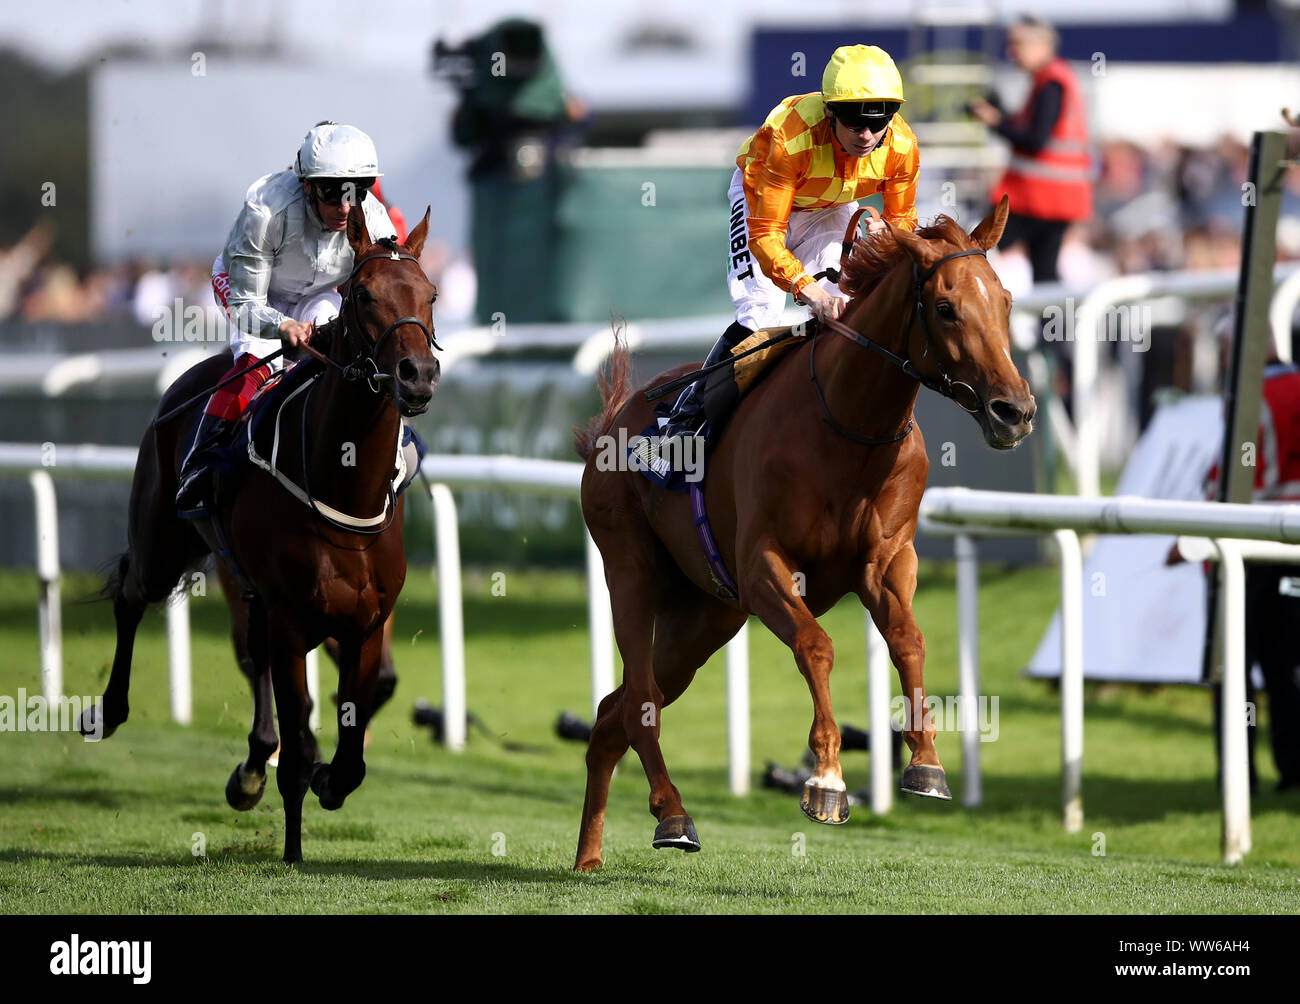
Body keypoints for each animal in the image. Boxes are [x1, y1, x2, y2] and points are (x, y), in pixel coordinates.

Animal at [81, 205, 439, 863]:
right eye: (364, 294)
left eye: (429, 294)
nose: (417, 374)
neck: (341, 484)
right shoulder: (293, 618)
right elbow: (297, 747)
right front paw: (293, 849)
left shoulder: (366, 621)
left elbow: (351, 750)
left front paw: (327, 775)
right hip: (165, 547)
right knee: (131, 594)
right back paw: (110, 711)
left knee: (252, 656)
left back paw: (252, 765)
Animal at [574, 196, 1029, 868]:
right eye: (946, 308)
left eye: (1005, 300)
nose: (1014, 411)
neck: (848, 424)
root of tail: (614, 417)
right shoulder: (765, 564)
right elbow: (816, 645)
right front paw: (827, 779)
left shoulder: (887, 561)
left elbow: (909, 639)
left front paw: (925, 762)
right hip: (629, 568)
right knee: (638, 703)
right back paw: (673, 814)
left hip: (706, 616)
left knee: (614, 712)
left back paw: (589, 856)